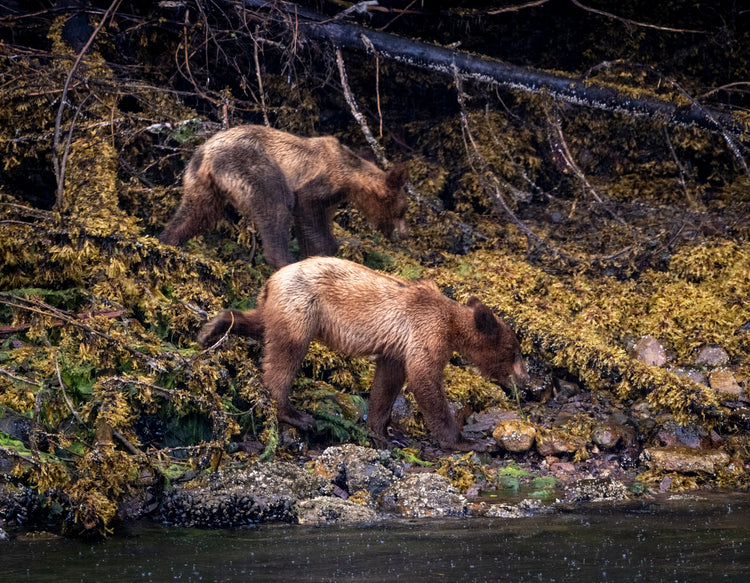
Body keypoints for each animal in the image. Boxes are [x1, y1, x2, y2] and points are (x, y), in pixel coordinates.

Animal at [159, 125, 409, 269]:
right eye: (403, 210)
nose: (404, 234)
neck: (349, 178)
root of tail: (209, 154)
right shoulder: (316, 183)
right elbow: (308, 213)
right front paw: (323, 251)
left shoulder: (332, 198)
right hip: (254, 166)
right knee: (276, 207)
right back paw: (283, 262)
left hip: (200, 181)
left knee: (195, 213)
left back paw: (167, 241)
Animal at [197, 256, 530, 451]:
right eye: (515, 352)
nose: (526, 381)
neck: (451, 325)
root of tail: (272, 278)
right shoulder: (426, 332)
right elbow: (424, 379)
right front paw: (465, 440)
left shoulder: (397, 346)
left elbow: (388, 381)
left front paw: (384, 431)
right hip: (303, 308)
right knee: (286, 354)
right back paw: (295, 414)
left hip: (278, 305)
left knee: (260, 324)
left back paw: (212, 328)